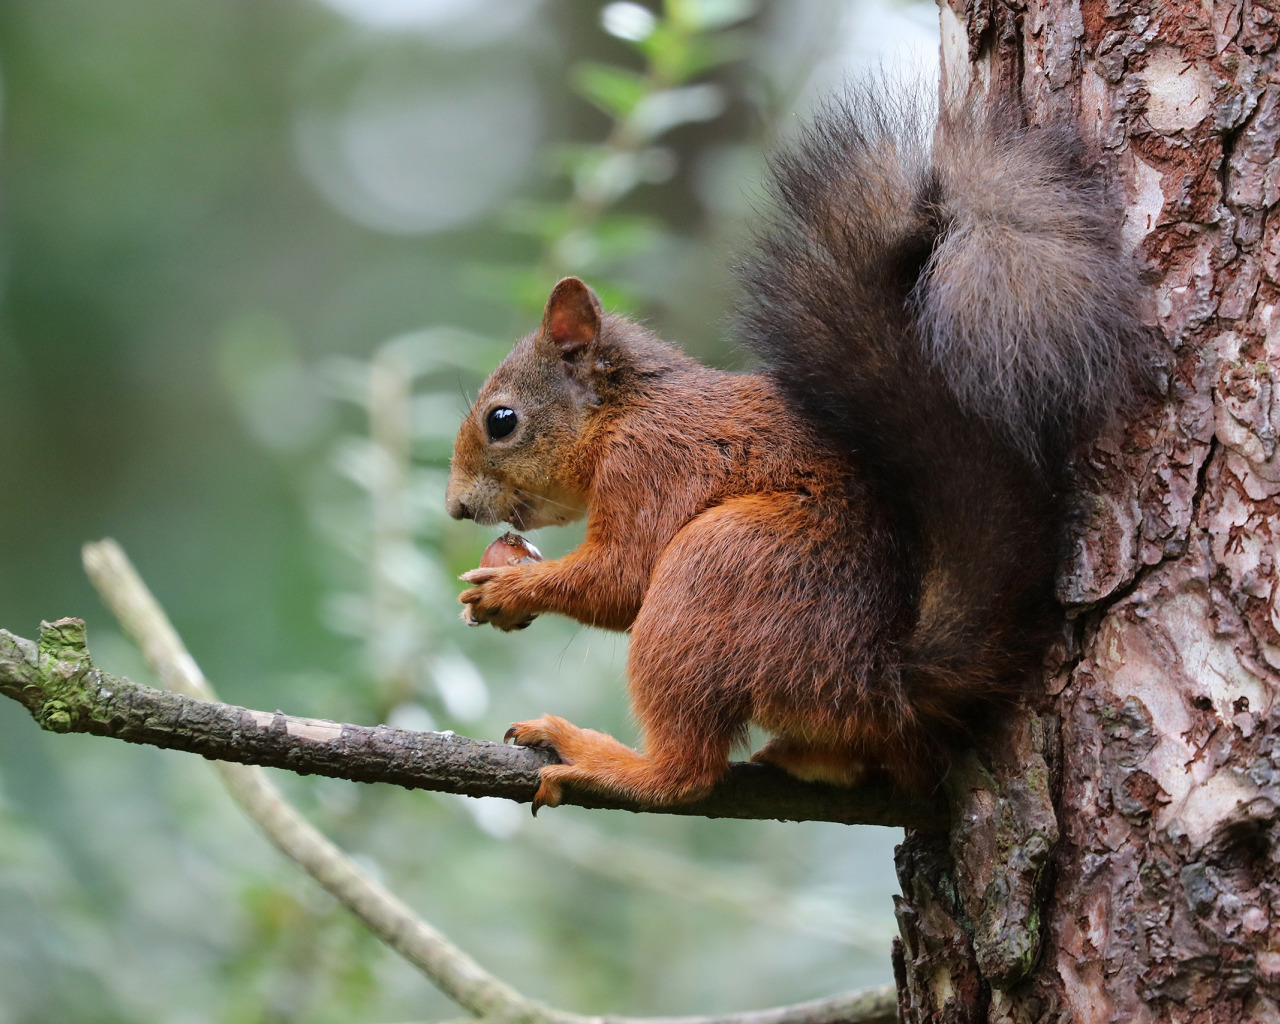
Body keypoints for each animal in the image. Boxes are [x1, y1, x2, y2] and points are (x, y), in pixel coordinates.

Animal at [448, 90, 1141, 808]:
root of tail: (878, 685)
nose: (456, 508)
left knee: (687, 771)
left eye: (502, 420)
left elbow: (623, 576)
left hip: (720, 568)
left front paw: (511, 590)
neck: (625, 414)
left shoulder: (652, 466)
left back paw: (596, 757)